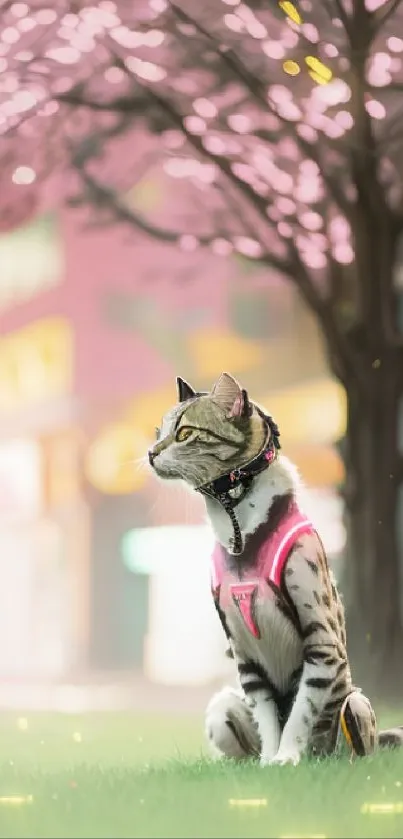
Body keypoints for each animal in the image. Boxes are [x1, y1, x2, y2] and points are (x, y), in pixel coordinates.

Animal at [149, 370, 403, 764]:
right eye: (158, 432)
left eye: (185, 433)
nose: (149, 453)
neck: (240, 531)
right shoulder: (245, 654)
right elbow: (266, 716)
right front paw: (270, 759)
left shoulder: (322, 643)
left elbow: (301, 710)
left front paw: (287, 758)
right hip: (220, 707)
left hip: (355, 706)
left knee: (349, 741)